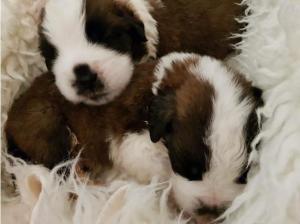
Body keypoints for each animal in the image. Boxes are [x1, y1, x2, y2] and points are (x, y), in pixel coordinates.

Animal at [5, 52, 262, 219]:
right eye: (188, 170)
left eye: (243, 175)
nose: (210, 210)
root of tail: (9, 120)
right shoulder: (134, 143)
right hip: (48, 124)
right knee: (61, 172)